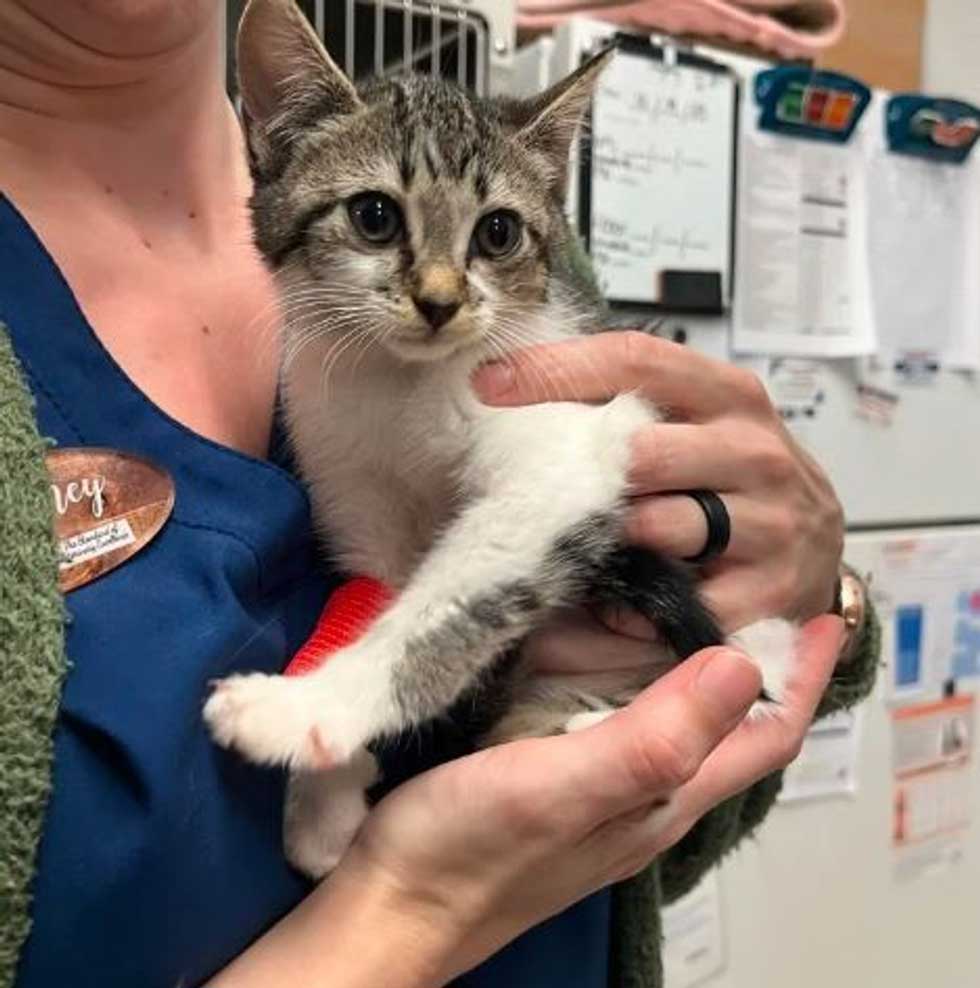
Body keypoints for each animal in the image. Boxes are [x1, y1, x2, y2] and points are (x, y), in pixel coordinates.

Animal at [205, 0, 796, 880]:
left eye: (497, 233)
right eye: (374, 216)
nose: (440, 301)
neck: (401, 386)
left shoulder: (568, 453)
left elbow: (439, 609)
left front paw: (308, 710)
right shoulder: (356, 492)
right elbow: (375, 600)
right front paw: (326, 799)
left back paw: (591, 720)